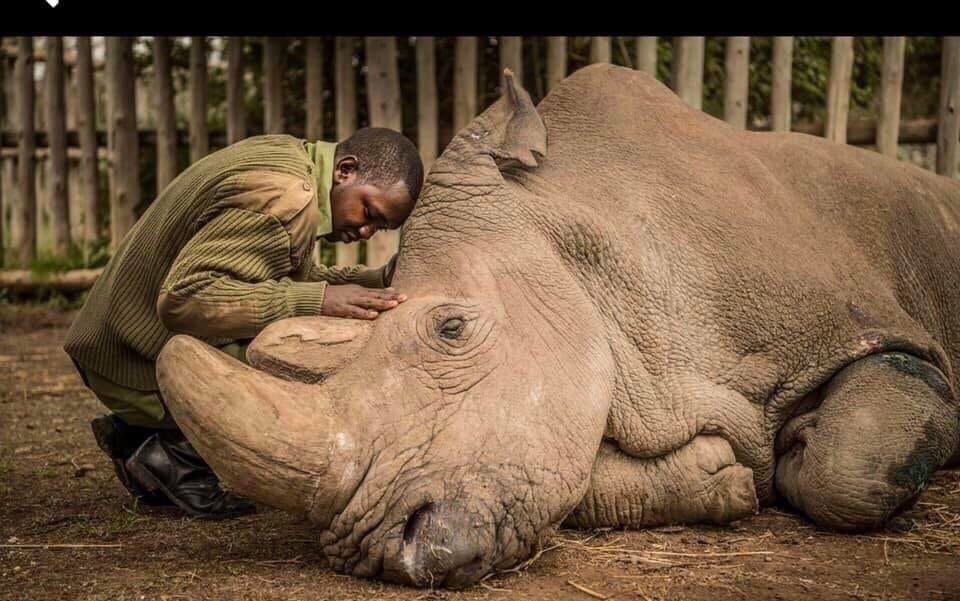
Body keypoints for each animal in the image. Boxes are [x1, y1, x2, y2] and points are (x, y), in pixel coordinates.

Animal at [155, 64, 960, 588]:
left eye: (452, 329)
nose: (383, 551)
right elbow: (570, 477)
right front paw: (724, 477)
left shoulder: (872, 332)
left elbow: (848, 467)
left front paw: (798, 448)